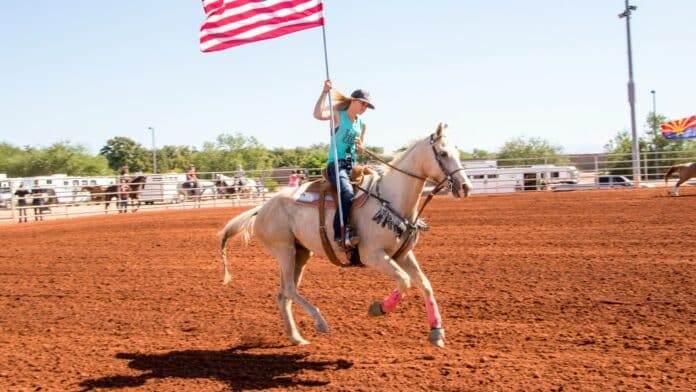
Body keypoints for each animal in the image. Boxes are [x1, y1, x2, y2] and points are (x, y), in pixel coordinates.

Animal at [220, 124, 470, 348]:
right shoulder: (373, 256)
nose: (465, 187)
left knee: (284, 295)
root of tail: (261, 208)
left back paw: (296, 338)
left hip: (300, 253)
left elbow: (425, 285)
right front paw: (379, 308)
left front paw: (437, 332)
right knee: (289, 289)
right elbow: (404, 281)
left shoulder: (403, 255)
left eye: (458, 152)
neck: (390, 198)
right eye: (443, 153)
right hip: (284, 251)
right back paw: (320, 322)